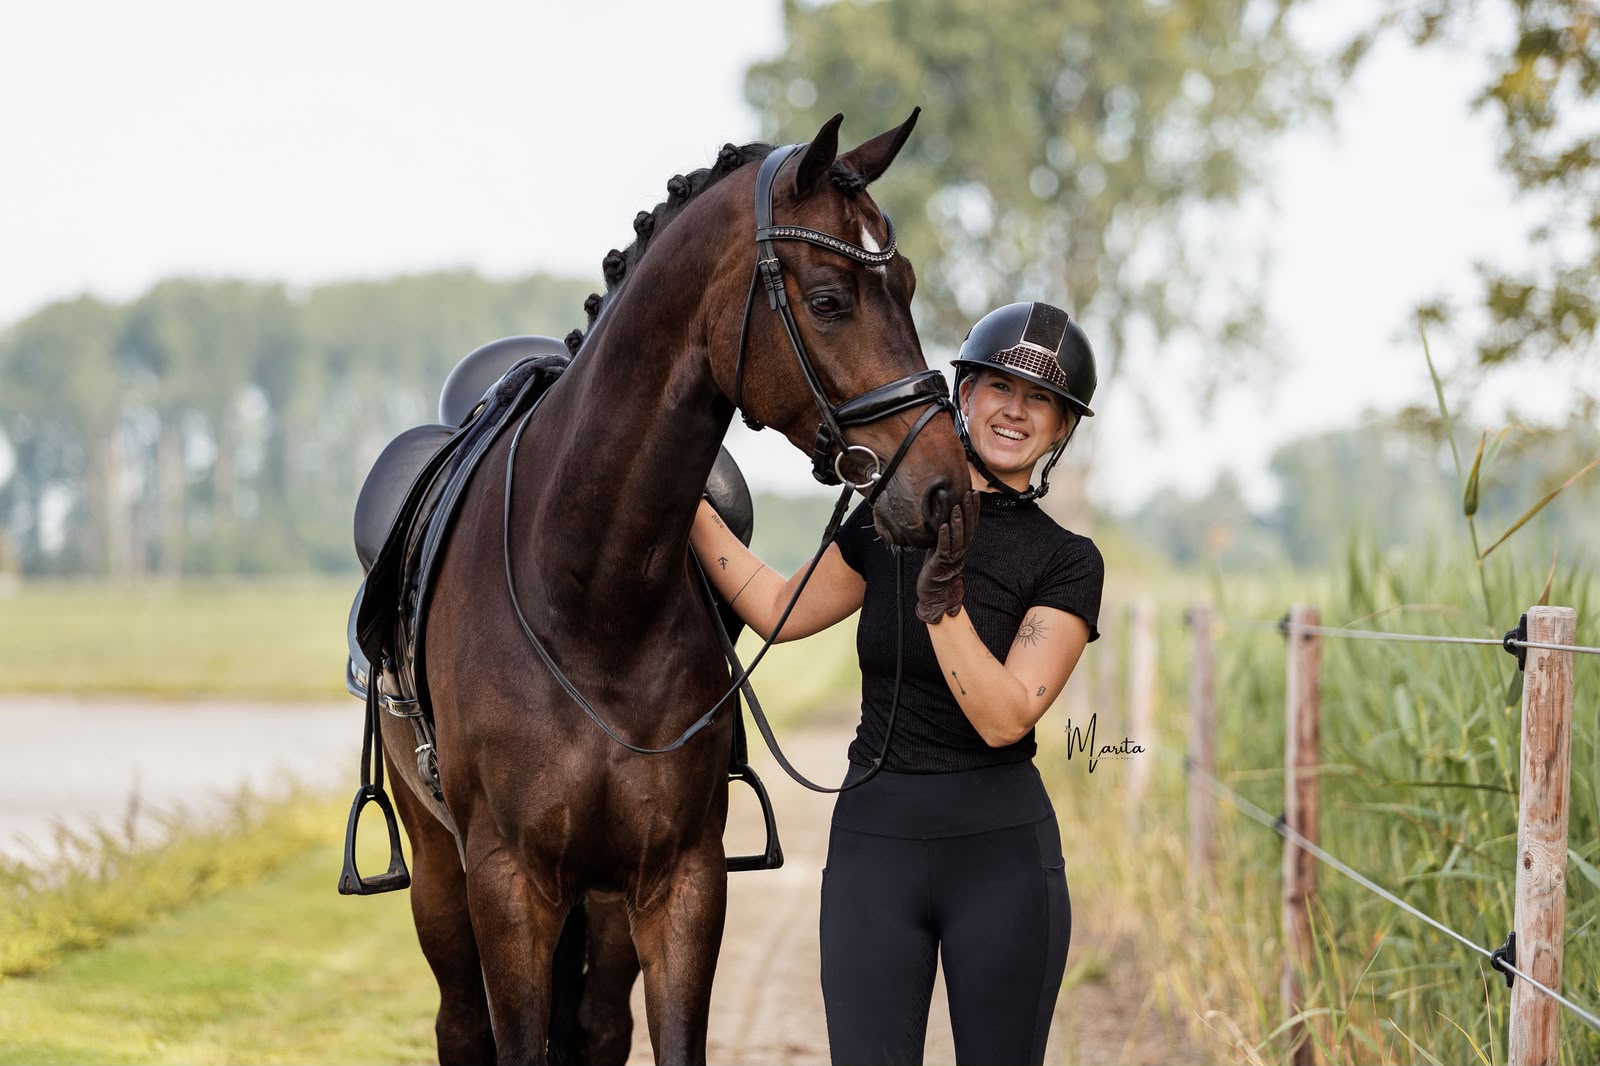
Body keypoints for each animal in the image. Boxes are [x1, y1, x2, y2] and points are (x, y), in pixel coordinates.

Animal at [379, 110, 970, 1065]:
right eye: (830, 299)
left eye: (908, 283)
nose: (948, 489)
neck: (591, 600)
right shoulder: (508, 885)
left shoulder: (679, 882)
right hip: (440, 872)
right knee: (461, 1026)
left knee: (597, 1028)